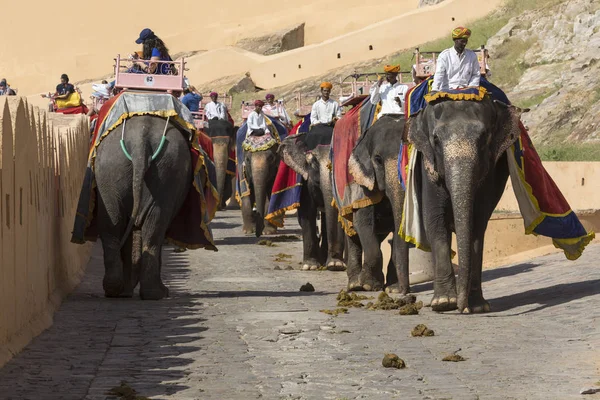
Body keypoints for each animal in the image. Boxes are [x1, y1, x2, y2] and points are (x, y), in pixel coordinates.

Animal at [95, 114, 192, 298]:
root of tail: (140, 142)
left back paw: (116, 290)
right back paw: (155, 294)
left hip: (110, 170)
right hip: (166, 170)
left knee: (114, 223)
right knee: (153, 228)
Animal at [344, 115, 410, 294]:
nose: (404, 292)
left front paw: (392, 289)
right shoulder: (363, 187)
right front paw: (369, 286)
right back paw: (355, 284)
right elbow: (363, 222)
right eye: (378, 160)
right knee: (352, 235)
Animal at [410, 97, 524, 312]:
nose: (462, 308)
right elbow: (435, 221)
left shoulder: (490, 172)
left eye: (484, 137)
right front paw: (444, 303)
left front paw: (477, 307)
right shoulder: (428, 166)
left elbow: (477, 224)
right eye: (435, 139)